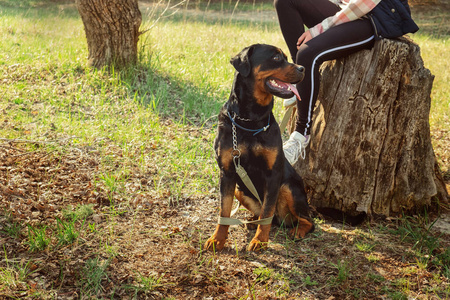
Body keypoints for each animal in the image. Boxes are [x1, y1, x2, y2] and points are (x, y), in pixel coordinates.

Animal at [206, 43, 314, 252]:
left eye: (286, 57)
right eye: (276, 58)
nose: (302, 69)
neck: (249, 119)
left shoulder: (273, 174)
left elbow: (267, 212)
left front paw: (260, 240)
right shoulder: (227, 172)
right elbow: (224, 211)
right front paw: (218, 239)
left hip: (289, 188)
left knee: (308, 221)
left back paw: (297, 231)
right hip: (240, 190)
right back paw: (251, 221)